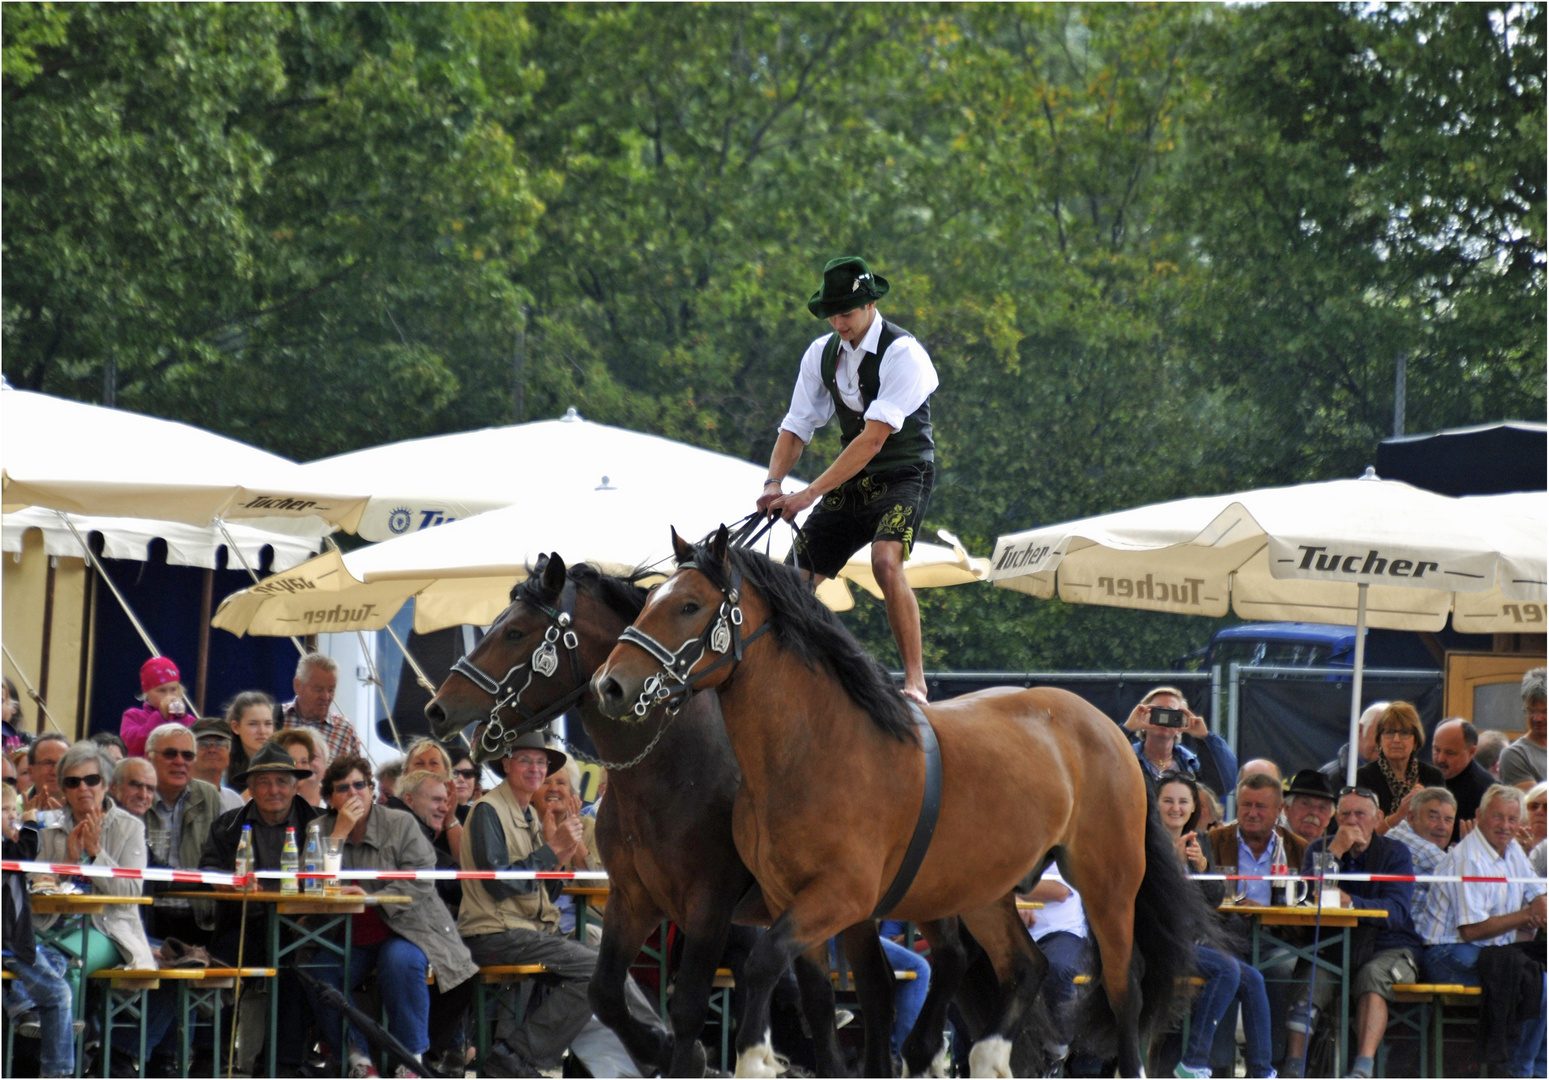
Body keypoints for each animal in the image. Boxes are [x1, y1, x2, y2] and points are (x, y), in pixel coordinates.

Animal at [424, 551, 917, 1072]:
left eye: (515, 632)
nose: (437, 709)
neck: (670, 769)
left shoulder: (708, 907)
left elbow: (687, 1007)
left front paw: (686, 1056)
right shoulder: (633, 900)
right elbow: (604, 993)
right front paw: (657, 1048)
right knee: (861, 993)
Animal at [591, 529, 1208, 1072]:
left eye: (689, 605)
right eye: (649, 601)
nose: (610, 685)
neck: (811, 748)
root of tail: (1110, 732)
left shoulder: (830, 898)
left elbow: (765, 969)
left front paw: (755, 1059)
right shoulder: (789, 902)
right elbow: (818, 995)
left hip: (1108, 882)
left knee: (1124, 987)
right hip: (982, 891)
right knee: (1022, 967)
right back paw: (983, 1058)